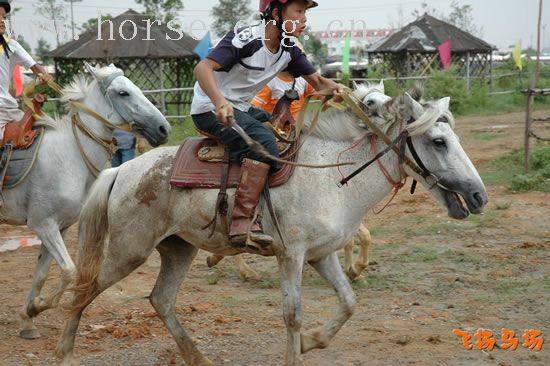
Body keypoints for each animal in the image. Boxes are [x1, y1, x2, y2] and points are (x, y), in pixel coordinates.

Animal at [0, 63, 171, 340]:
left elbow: (42, 274)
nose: (163, 128)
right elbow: (70, 271)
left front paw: (28, 317)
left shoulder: (59, 227)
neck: (68, 155)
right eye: (123, 92)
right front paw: (37, 307)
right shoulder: (43, 224)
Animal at [57, 89, 488, 366]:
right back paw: (65, 352)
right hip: (128, 251)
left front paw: (312, 342)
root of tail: (122, 170)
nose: (479, 195)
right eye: (438, 141)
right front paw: (297, 350)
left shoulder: (320, 255)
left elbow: (349, 302)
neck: (331, 176)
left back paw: (199, 357)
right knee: (83, 290)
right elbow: (292, 314)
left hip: (179, 247)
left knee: (161, 299)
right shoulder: (291, 255)